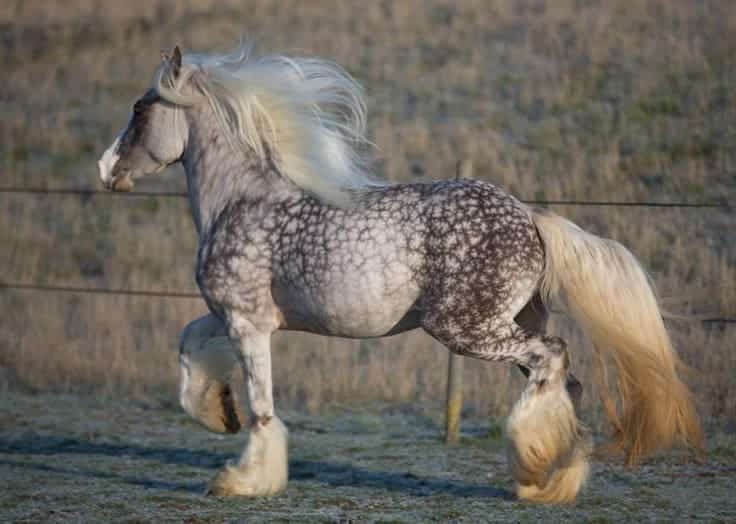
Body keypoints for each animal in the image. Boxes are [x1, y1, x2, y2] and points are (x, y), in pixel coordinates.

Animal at [98, 44, 700, 504]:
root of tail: (531, 217)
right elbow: (188, 345)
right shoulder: (233, 315)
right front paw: (218, 413)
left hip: (467, 329)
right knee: (564, 382)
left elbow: (262, 407)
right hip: (510, 324)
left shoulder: (249, 322)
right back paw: (551, 481)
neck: (241, 200)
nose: (107, 171)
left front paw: (242, 479)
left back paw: (531, 467)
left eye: (140, 108)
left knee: (554, 359)